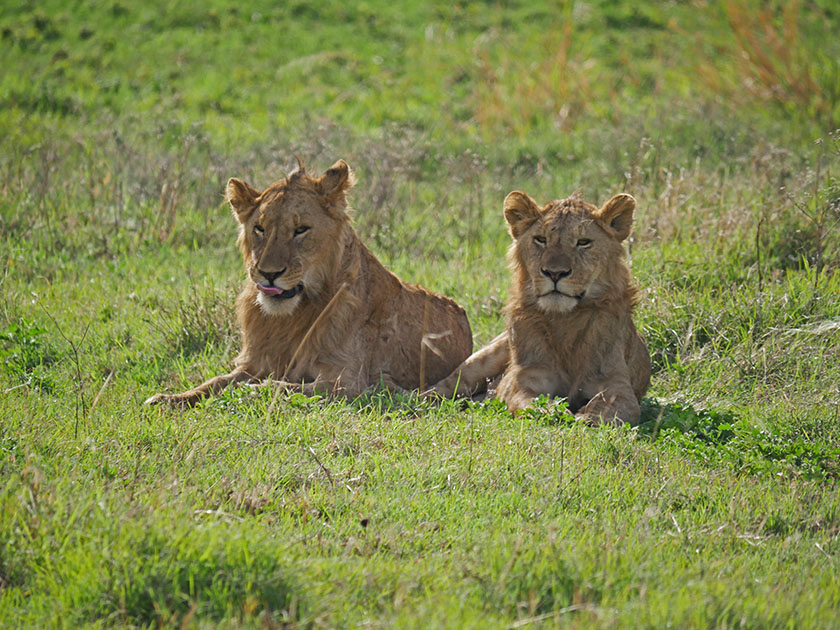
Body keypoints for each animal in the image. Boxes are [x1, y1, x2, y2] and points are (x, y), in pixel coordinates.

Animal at [144, 162, 472, 410]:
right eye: (259, 229)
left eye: (301, 230)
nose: (268, 274)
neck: (292, 316)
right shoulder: (253, 362)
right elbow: (214, 382)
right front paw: (168, 398)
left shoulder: (347, 382)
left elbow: (279, 386)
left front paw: (248, 392)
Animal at [426, 188, 648, 424]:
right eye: (541, 240)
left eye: (583, 242)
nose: (554, 273)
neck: (564, 321)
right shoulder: (524, 379)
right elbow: (528, 402)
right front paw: (553, 412)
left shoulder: (617, 385)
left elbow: (612, 408)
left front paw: (587, 417)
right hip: (481, 361)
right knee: (440, 388)